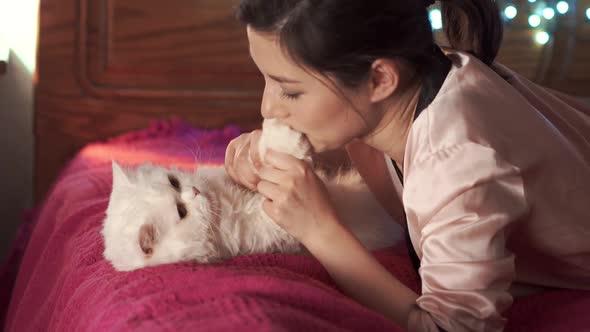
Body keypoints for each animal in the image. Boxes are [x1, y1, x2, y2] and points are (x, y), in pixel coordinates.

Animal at [104, 120, 404, 272]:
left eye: (174, 181)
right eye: (181, 211)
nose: (195, 192)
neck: (223, 210)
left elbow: (260, 157)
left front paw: (275, 134)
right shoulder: (273, 229)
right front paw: (288, 140)